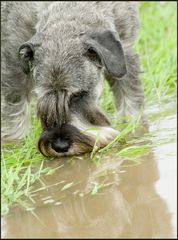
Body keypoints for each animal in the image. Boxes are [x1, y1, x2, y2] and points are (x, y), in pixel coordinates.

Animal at [1, 1, 143, 158]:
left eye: (78, 95)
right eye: (41, 97)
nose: (60, 146)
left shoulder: (125, 54)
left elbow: (130, 100)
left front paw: (133, 128)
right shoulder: (13, 64)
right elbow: (14, 112)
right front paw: (14, 144)